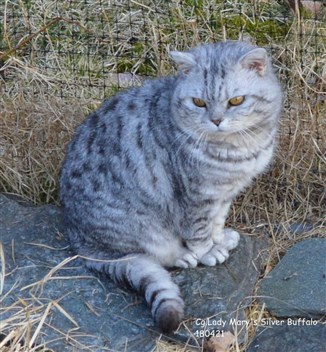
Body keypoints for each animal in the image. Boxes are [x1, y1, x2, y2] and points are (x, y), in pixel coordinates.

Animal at [60, 40, 282, 332]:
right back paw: (181, 256)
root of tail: (77, 239)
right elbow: (199, 231)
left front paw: (220, 238)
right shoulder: (196, 195)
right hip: (140, 226)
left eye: (236, 101)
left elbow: (217, 221)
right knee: (149, 254)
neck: (237, 147)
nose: (216, 120)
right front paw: (209, 251)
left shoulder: (223, 195)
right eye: (198, 102)